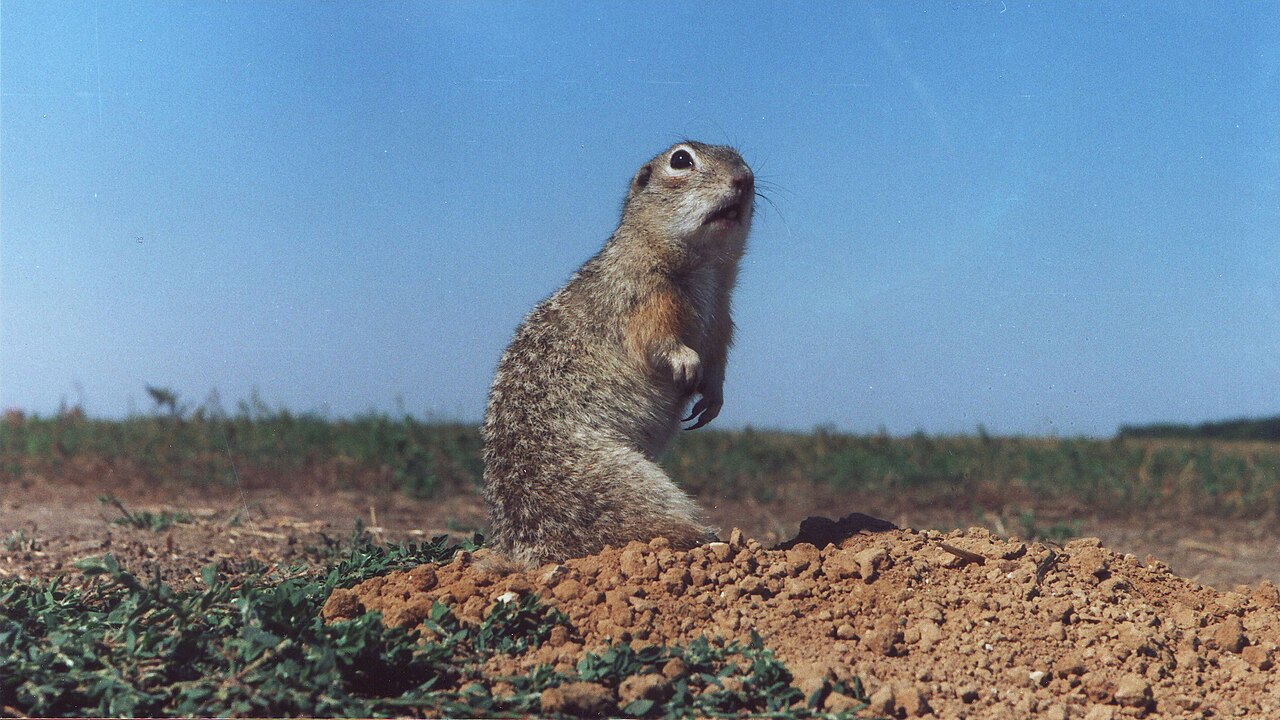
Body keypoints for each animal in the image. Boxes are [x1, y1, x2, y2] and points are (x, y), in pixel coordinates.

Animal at [482, 141, 755, 568]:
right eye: (680, 160)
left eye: (739, 155)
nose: (745, 178)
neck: (708, 270)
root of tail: (515, 553)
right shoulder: (643, 296)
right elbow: (656, 338)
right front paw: (685, 363)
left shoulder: (722, 319)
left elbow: (718, 361)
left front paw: (711, 401)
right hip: (625, 480)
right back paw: (711, 539)